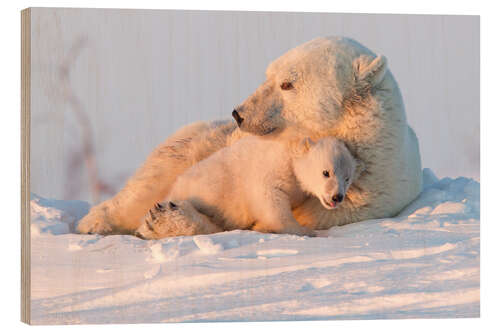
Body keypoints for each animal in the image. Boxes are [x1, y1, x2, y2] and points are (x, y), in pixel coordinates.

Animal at [135, 135, 358, 239]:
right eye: (326, 172)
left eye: (347, 178)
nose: (337, 197)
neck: (291, 151)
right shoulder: (272, 169)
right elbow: (270, 199)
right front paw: (304, 230)